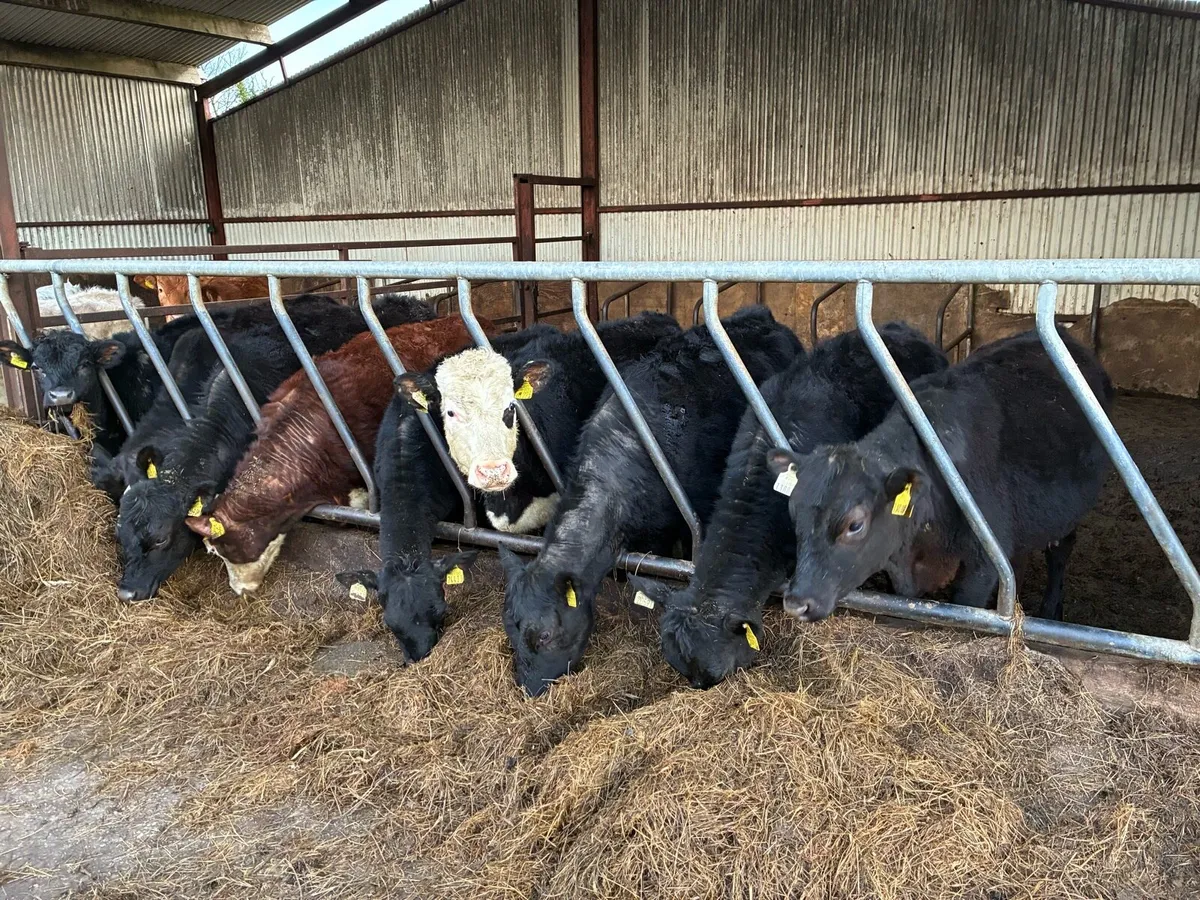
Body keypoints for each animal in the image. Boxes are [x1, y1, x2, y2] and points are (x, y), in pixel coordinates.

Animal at [764, 328, 1113, 624]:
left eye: (855, 525)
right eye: (794, 513)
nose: (797, 602)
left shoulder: (984, 564)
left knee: (1060, 551)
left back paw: (1051, 610)